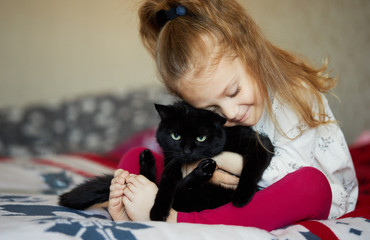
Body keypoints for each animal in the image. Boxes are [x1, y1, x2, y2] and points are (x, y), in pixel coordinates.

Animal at [60, 101, 274, 221]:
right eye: (175, 136)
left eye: (201, 138)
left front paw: (241, 197)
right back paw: (148, 160)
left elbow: (251, 170)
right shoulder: (171, 161)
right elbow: (166, 186)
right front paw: (158, 211)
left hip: (208, 196)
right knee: (164, 187)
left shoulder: (259, 144)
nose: (187, 151)